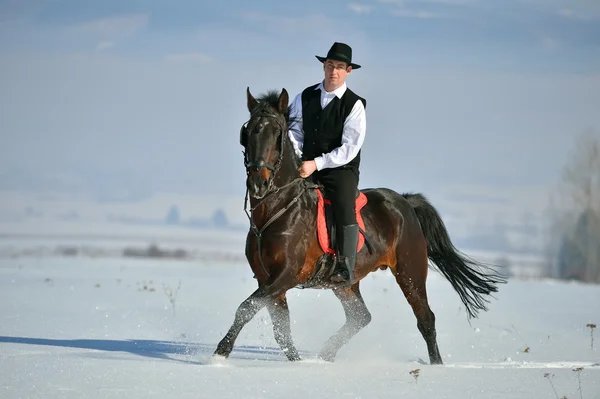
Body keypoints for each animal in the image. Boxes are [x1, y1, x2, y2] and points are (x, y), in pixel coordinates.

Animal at [212, 87, 506, 366]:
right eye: (247, 131)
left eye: (278, 133)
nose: (258, 184)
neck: (277, 209)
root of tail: (405, 203)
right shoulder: (268, 279)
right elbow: (280, 328)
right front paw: (297, 364)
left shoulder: (286, 275)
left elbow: (246, 308)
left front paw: (220, 354)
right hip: (347, 284)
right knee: (361, 317)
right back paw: (325, 356)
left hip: (410, 272)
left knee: (425, 318)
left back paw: (436, 364)